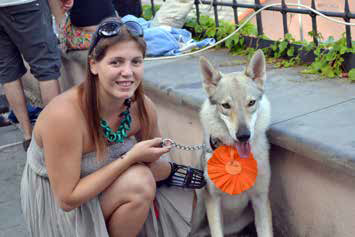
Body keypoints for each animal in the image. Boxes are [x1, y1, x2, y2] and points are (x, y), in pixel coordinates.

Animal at [192, 49, 272, 236]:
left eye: (251, 102)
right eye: (226, 105)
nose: (243, 135)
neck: (236, 159)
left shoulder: (261, 198)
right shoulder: (213, 200)